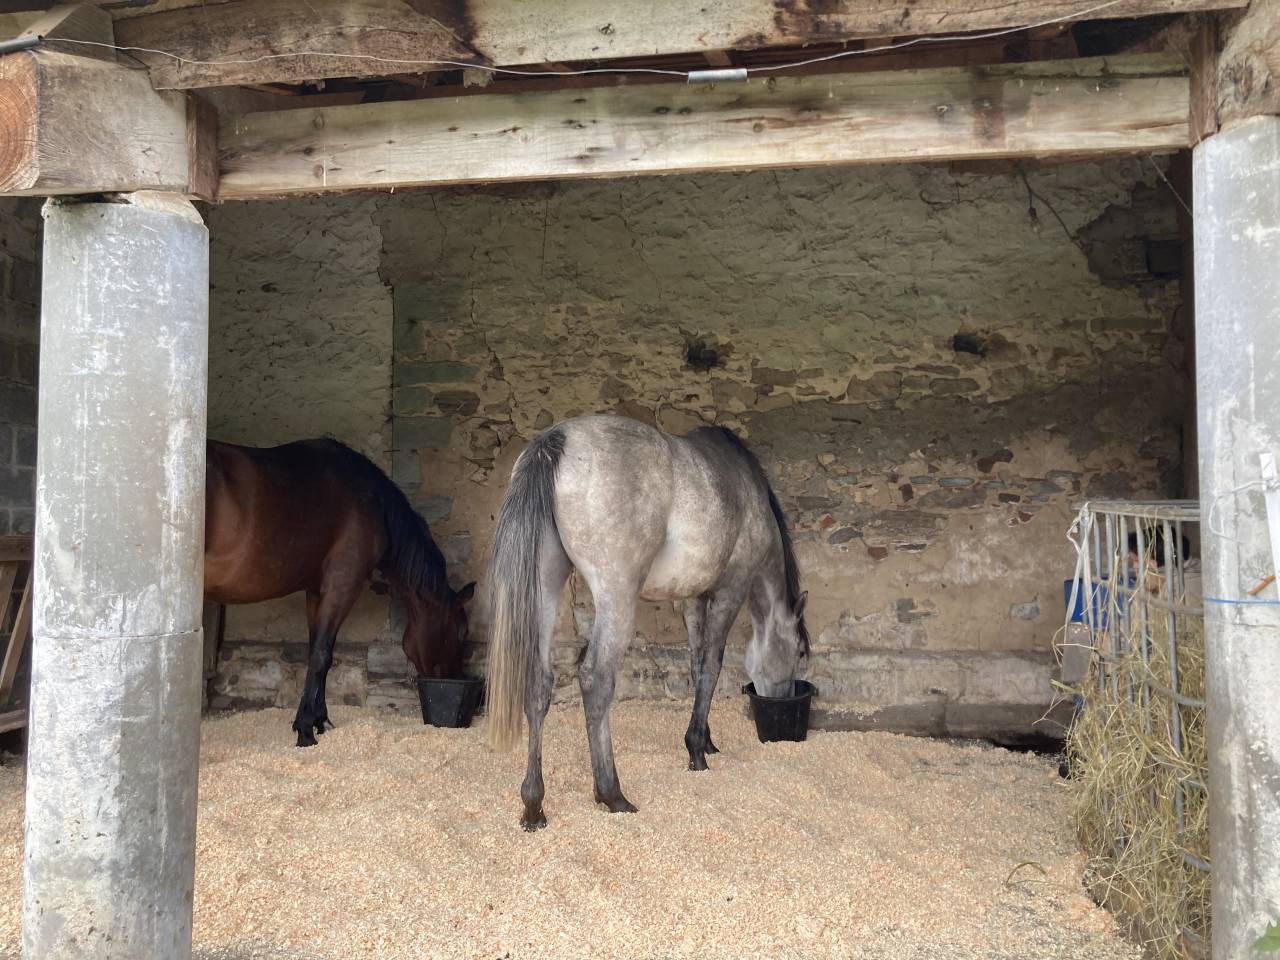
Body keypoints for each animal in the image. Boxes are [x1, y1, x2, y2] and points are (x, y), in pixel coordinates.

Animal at [204, 438, 475, 747]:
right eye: (461, 632)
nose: (456, 679)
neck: (370, 500)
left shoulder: (315, 591)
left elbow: (317, 652)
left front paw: (319, 719)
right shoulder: (342, 587)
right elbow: (322, 657)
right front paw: (305, 730)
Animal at [485, 415, 808, 830]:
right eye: (798, 652)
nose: (783, 699)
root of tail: (556, 440)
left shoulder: (692, 599)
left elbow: (697, 666)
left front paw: (706, 740)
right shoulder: (730, 590)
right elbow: (712, 666)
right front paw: (696, 751)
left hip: (545, 585)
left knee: (539, 685)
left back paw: (533, 805)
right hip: (616, 596)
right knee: (596, 679)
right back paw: (611, 793)